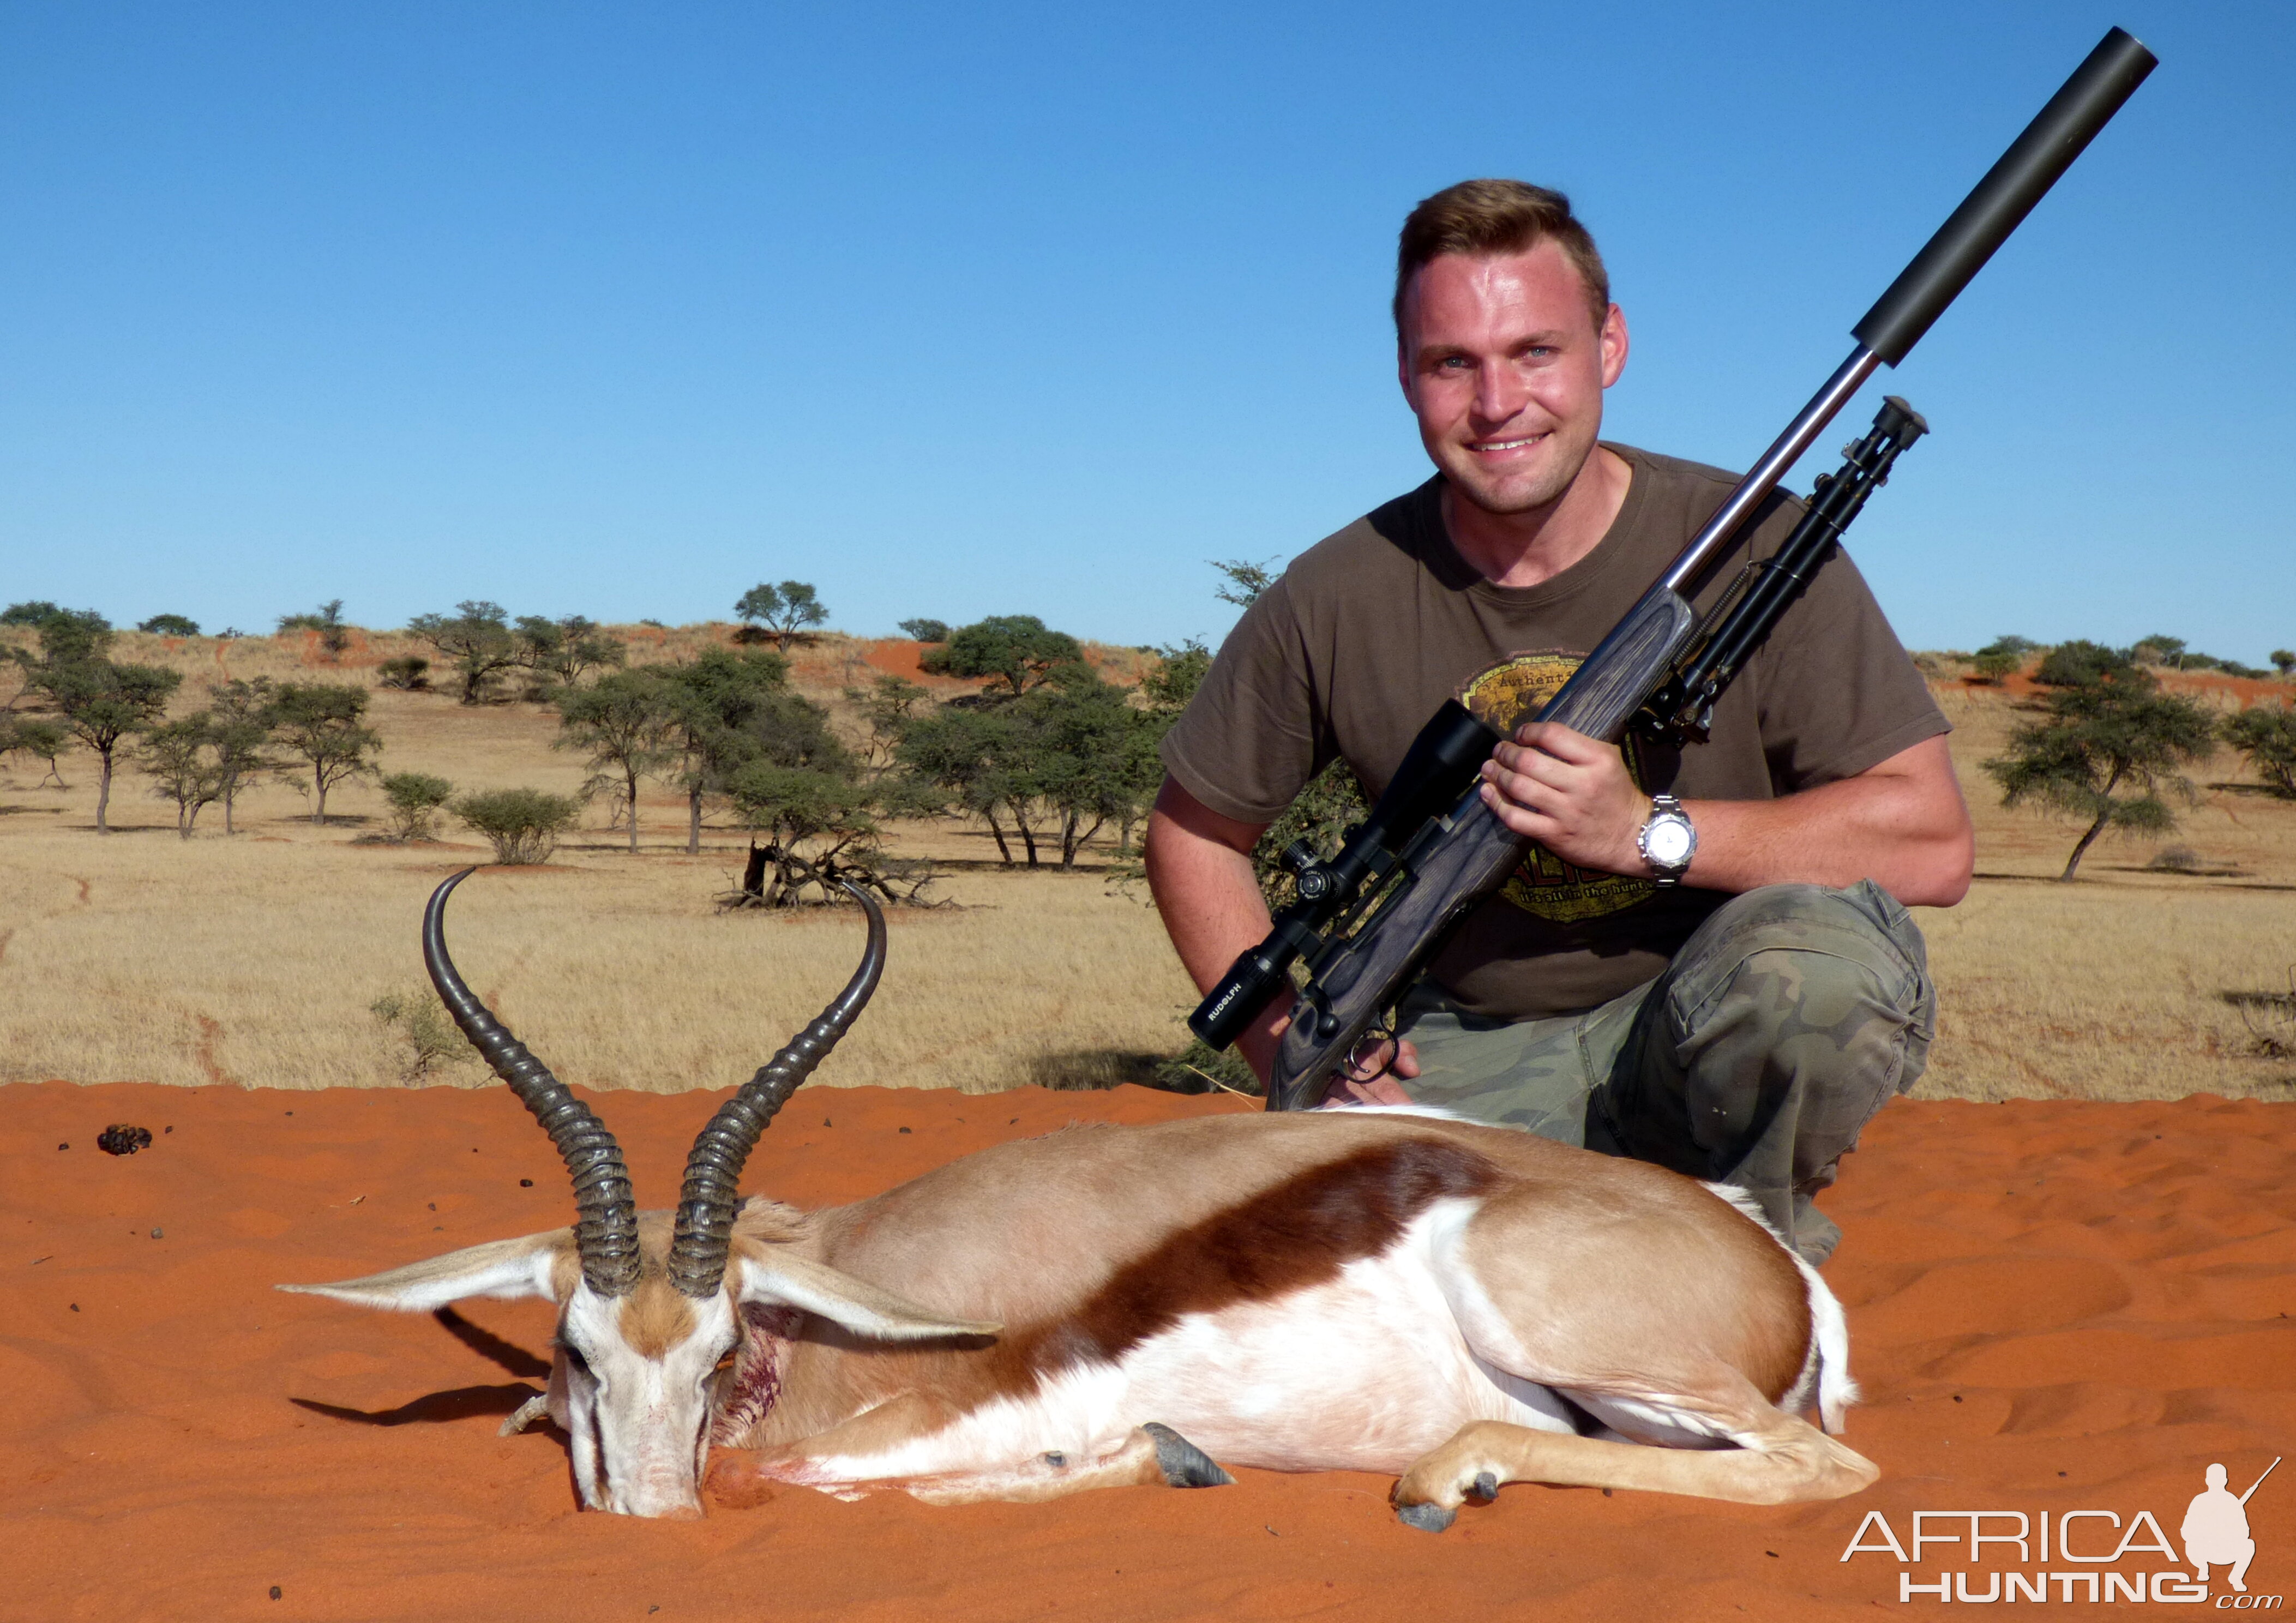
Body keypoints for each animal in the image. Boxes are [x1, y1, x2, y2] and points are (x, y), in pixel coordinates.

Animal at [278, 876, 1873, 1524]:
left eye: (720, 1349)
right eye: (575, 1354)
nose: (654, 1519)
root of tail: (1771, 1263)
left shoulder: (960, 1411)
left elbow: (794, 1476)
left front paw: (1158, 1460)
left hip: (1562, 1332)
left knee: (1824, 1470)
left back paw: (1437, 1480)